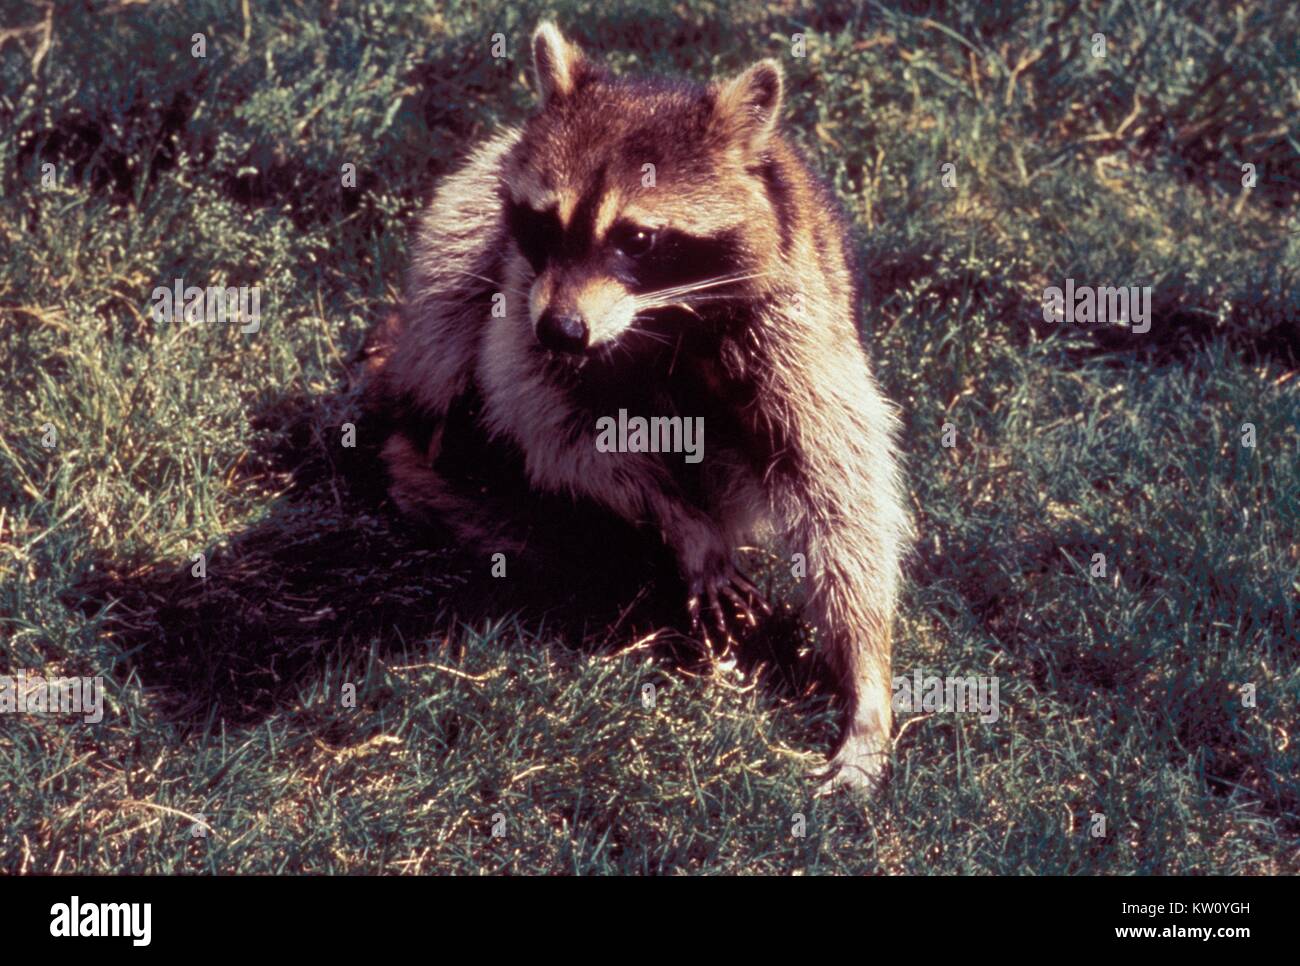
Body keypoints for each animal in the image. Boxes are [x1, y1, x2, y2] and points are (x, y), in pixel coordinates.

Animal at [362, 23, 913, 792]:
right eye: (545, 223)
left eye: (639, 239)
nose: (563, 331)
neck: (654, 319)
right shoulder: (521, 303)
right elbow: (556, 431)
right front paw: (683, 522)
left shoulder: (795, 324)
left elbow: (840, 488)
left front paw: (866, 674)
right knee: (450, 280)